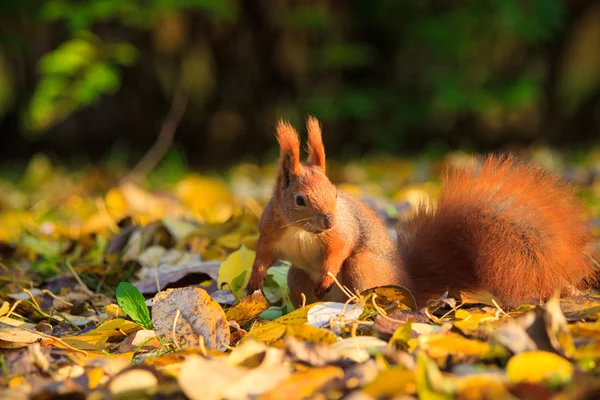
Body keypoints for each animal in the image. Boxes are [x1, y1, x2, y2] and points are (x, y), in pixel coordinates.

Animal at [245, 117, 596, 308]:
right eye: (299, 200)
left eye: (335, 193)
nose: (329, 219)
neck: (300, 230)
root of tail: (409, 284)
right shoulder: (270, 233)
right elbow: (262, 257)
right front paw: (252, 286)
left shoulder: (342, 230)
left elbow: (341, 245)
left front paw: (327, 273)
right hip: (296, 276)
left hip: (363, 268)